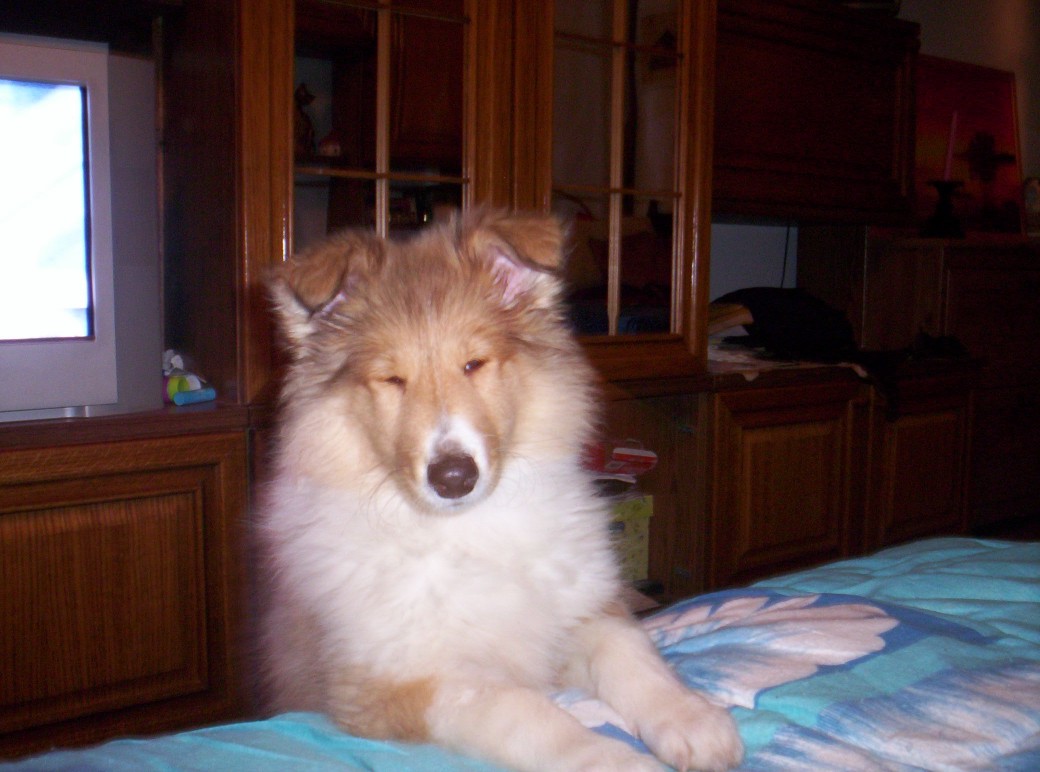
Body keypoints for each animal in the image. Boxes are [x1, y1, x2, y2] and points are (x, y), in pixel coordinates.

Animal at [258, 209, 743, 771]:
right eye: (392, 379)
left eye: (475, 363)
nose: (453, 478)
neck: (471, 529)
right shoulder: (403, 683)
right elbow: (528, 713)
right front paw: (617, 760)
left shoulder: (580, 610)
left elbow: (631, 656)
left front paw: (694, 720)